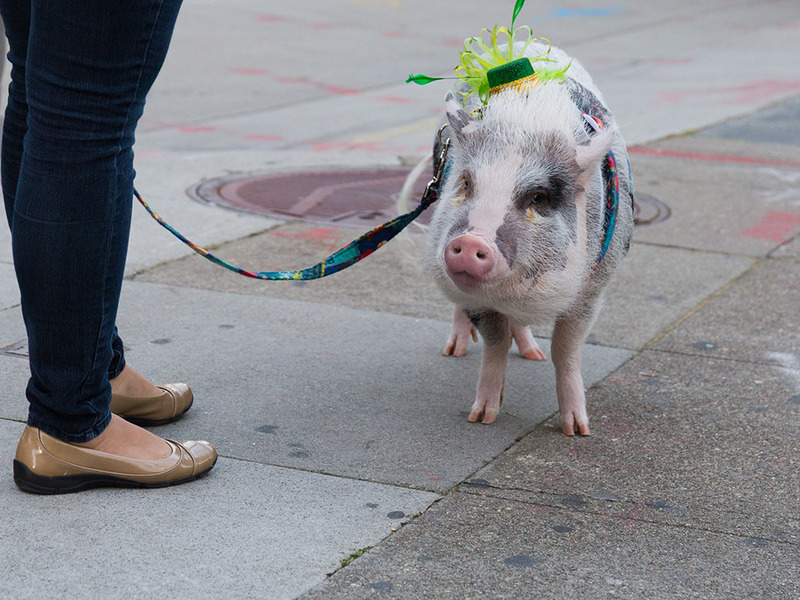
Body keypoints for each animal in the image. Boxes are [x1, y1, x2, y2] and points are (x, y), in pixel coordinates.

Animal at [425, 42, 634, 435]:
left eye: (538, 197)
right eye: (466, 183)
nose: (472, 242)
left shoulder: (592, 289)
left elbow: (565, 350)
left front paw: (577, 430)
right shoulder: (479, 302)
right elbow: (495, 343)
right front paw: (482, 418)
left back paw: (531, 354)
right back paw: (454, 350)